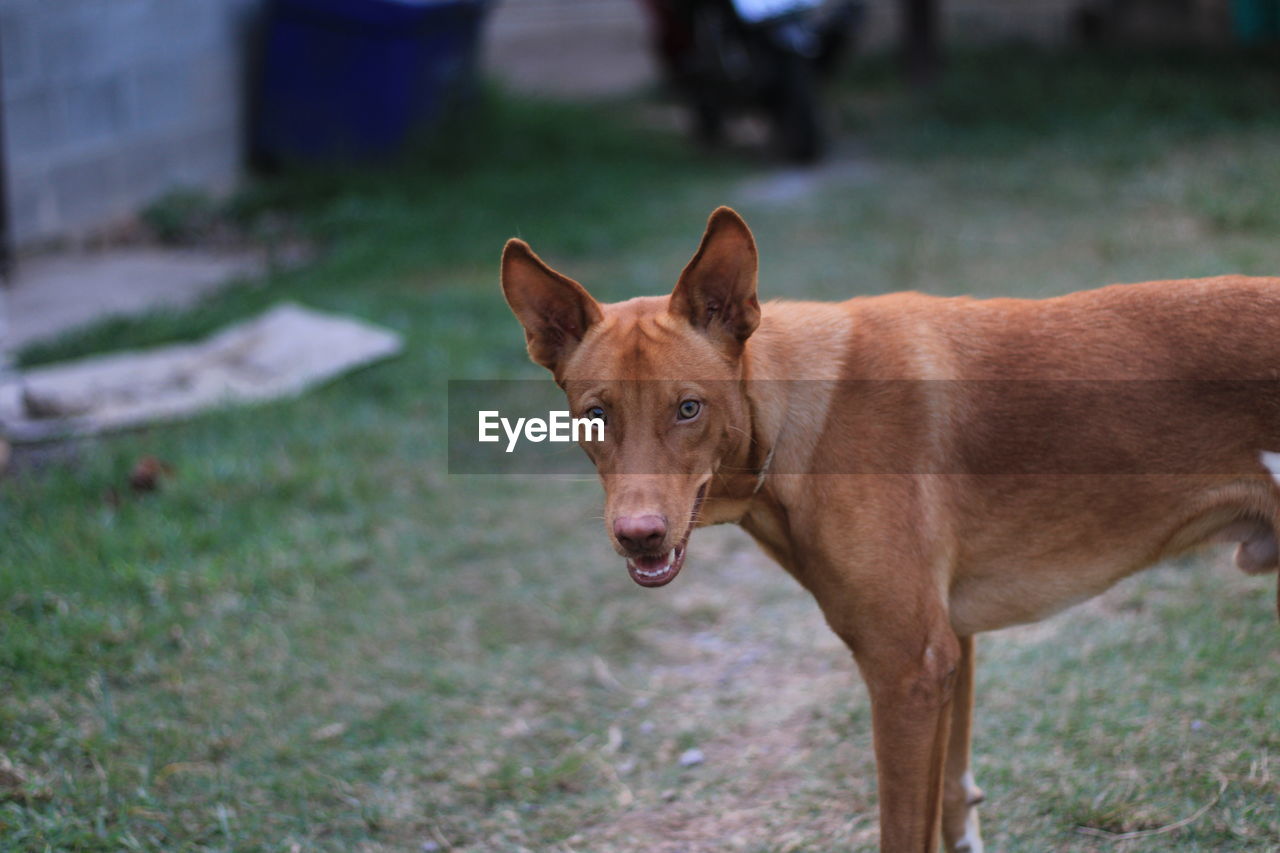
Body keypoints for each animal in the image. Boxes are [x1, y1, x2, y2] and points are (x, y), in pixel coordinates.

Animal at [499, 206, 1280, 850]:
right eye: (596, 414)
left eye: (688, 408)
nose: (639, 535)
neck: (795, 420)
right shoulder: (953, 649)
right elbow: (955, 807)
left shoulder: (907, 668)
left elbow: (905, 832)